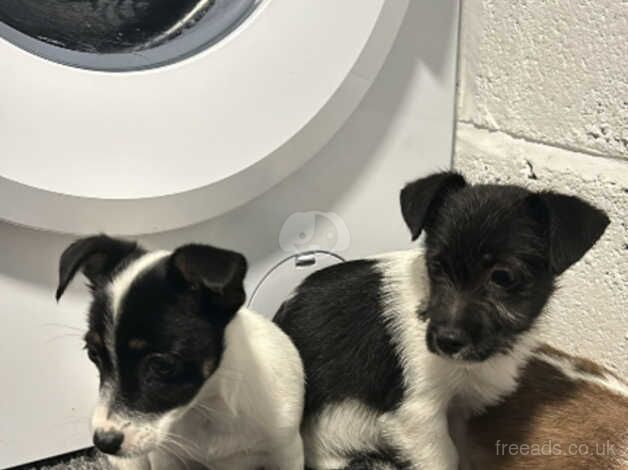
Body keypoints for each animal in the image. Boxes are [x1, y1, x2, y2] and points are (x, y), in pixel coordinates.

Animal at [55, 239, 306, 470]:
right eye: (93, 354)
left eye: (162, 366)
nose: (103, 442)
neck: (207, 407)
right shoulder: (166, 457)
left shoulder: (286, 452)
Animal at [274, 173, 608, 470]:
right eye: (436, 265)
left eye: (502, 277)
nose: (446, 341)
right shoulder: (418, 415)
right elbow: (444, 459)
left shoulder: (458, 410)